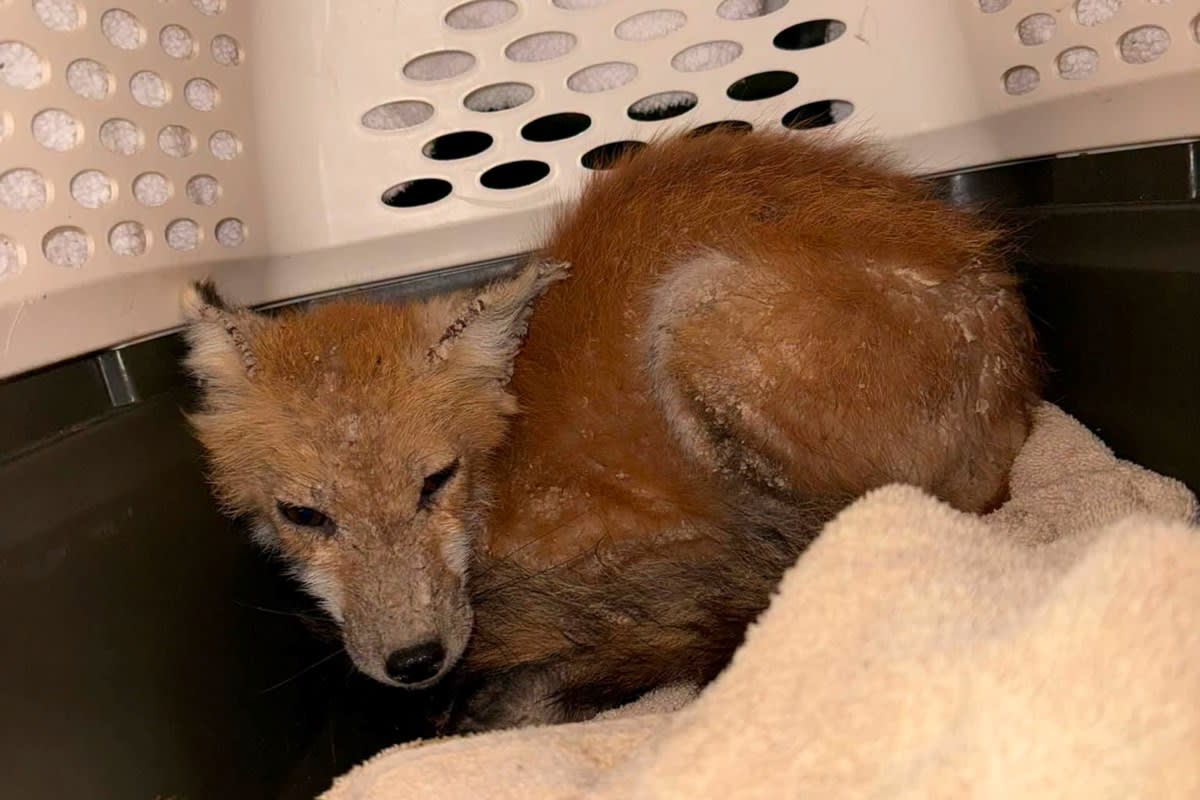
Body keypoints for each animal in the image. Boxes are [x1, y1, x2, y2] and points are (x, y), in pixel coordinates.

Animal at [182, 129, 1040, 731]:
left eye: (434, 482)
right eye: (304, 515)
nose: (415, 663)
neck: (501, 474)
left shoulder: (663, 539)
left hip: (698, 317)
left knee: (778, 564)